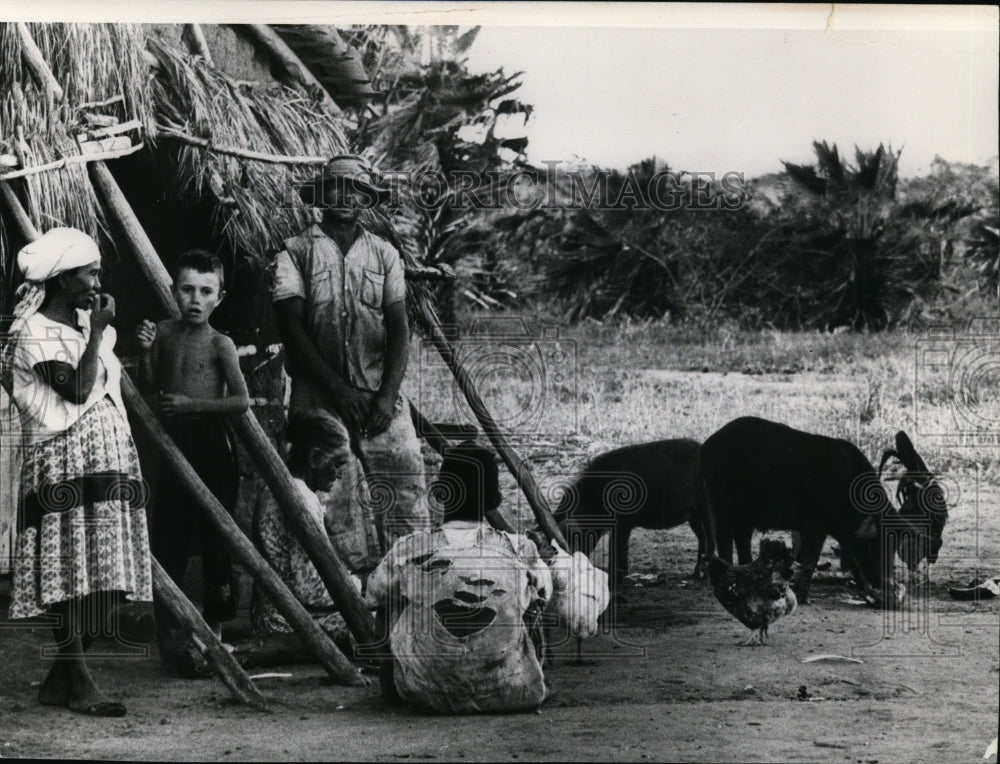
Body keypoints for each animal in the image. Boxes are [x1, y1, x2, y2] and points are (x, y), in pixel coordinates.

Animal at [556, 438, 712, 580]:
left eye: (574, 534)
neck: (594, 497)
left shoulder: (623, 521)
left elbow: (616, 546)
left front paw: (615, 576)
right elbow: (623, 547)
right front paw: (623, 574)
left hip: (706, 507)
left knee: (710, 536)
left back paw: (704, 576)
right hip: (693, 516)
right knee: (702, 537)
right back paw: (695, 574)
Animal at [696, 418, 944, 604]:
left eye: (892, 546)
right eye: (875, 545)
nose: (890, 587)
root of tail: (707, 446)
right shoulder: (815, 524)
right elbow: (810, 559)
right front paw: (802, 597)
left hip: (745, 516)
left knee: (743, 539)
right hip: (720, 505)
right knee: (725, 539)